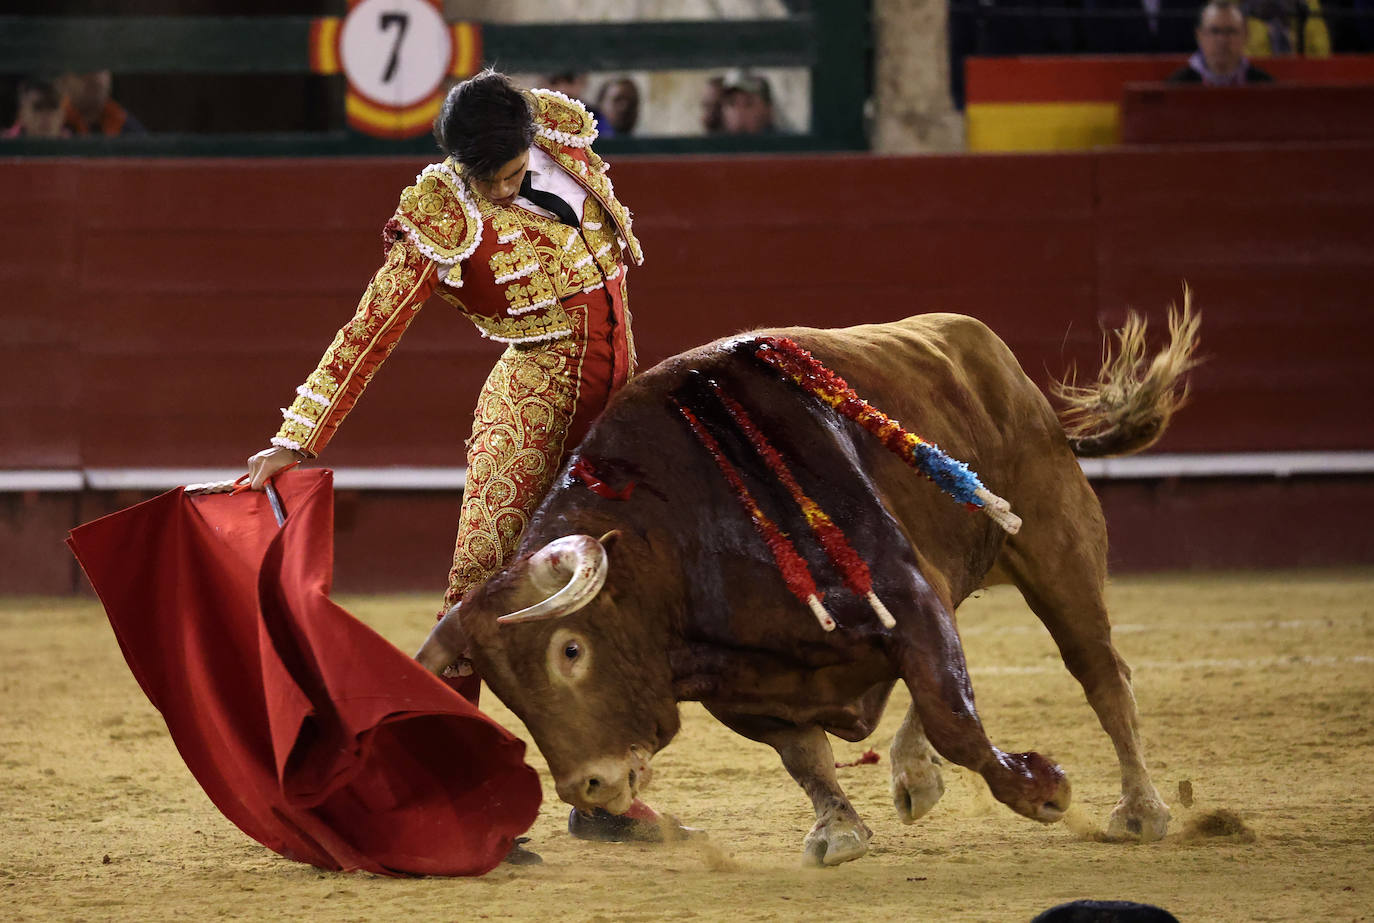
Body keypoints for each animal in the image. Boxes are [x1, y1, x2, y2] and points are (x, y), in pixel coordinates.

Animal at [417, 304, 1203, 868]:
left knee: (1099, 669)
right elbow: (806, 753)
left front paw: (1043, 788)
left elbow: (954, 715)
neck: (678, 532)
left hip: (1054, 544)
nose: (593, 786)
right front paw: (841, 829)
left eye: (571, 651)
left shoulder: (905, 595)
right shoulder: (744, 685)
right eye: (507, 693)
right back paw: (914, 776)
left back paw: (1141, 810)